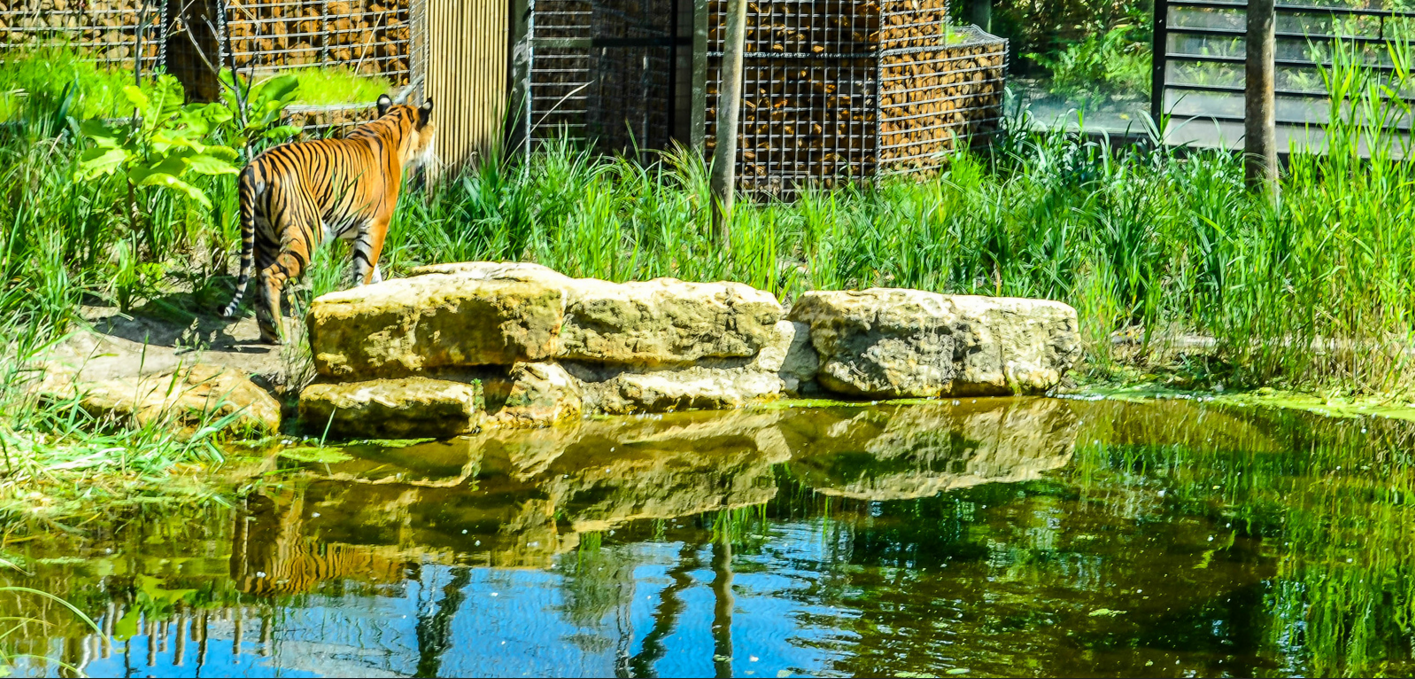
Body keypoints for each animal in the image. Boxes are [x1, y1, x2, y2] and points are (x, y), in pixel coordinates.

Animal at [216, 92, 430, 342]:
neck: (392, 126)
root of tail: (256, 165)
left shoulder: (354, 228)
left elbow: (372, 270)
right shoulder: (376, 224)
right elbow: (366, 266)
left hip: (264, 236)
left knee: (259, 281)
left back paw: (269, 334)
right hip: (306, 233)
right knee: (271, 276)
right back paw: (282, 335)